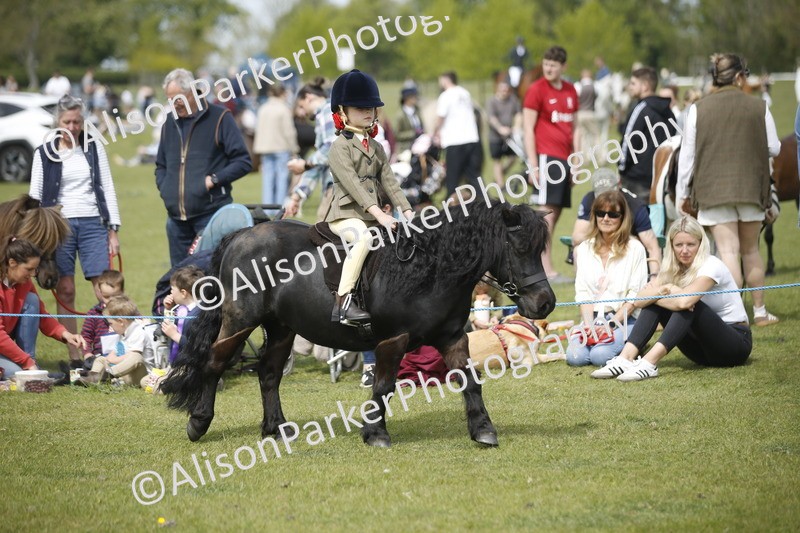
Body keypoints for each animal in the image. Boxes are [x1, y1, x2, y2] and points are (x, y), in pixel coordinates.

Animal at [161, 200, 556, 448]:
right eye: (519, 248)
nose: (545, 303)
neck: (430, 269)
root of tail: (240, 235)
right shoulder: (393, 340)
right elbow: (382, 386)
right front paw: (376, 433)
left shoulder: (453, 338)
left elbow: (471, 381)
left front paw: (483, 430)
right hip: (241, 322)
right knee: (214, 363)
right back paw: (199, 422)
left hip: (282, 328)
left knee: (269, 373)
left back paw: (276, 429)